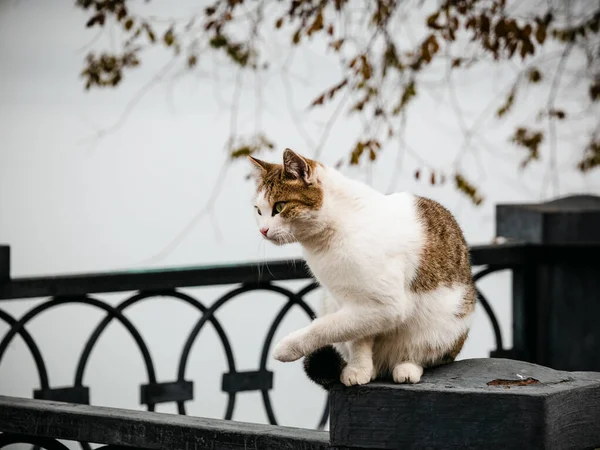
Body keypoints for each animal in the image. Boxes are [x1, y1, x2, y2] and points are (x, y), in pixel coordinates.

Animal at [247, 148, 474, 386]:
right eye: (258, 211)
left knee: (425, 355)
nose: (263, 230)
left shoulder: (384, 306)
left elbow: (327, 327)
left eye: (279, 207)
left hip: (444, 327)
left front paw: (288, 346)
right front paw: (360, 369)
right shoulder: (350, 300)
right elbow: (356, 337)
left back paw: (407, 367)